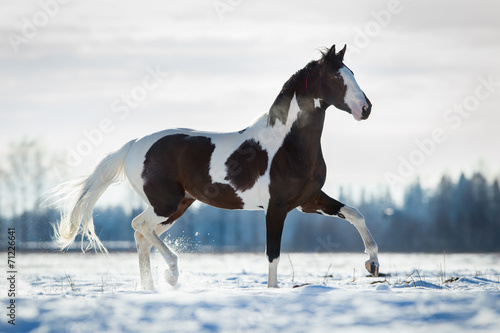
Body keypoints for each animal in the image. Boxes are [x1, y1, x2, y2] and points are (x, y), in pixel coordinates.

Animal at [52, 44, 378, 288]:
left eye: (352, 73)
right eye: (338, 78)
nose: (366, 108)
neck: (287, 145)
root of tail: (133, 145)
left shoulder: (307, 201)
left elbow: (356, 214)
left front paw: (372, 264)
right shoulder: (276, 208)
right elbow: (272, 254)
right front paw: (273, 292)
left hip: (178, 205)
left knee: (141, 236)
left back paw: (151, 288)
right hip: (165, 204)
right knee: (139, 226)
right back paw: (171, 274)